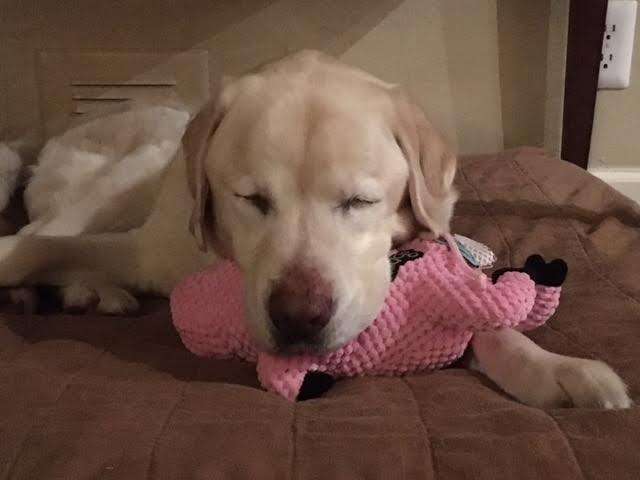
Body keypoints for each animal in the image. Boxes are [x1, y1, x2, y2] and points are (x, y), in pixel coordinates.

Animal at [0, 51, 632, 408]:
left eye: (360, 201)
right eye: (251, 199)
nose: (299, 319)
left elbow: (485, 323)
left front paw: (556, 370)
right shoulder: (147, 250)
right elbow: (31, 249)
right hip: (122, 178)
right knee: (48, 228)